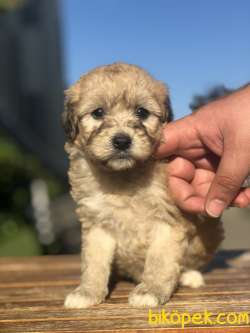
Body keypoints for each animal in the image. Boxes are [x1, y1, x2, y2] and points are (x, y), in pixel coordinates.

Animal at [61, 62, 224, 306]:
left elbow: (159, 261)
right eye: (98, 113)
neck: (125, 177)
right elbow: (94, 262)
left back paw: (189, 275)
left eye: (142, 112)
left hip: (210, 232)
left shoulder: (167, 220)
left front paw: (151, 290)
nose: (121, 141)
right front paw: (88, 291)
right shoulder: (97, 222)